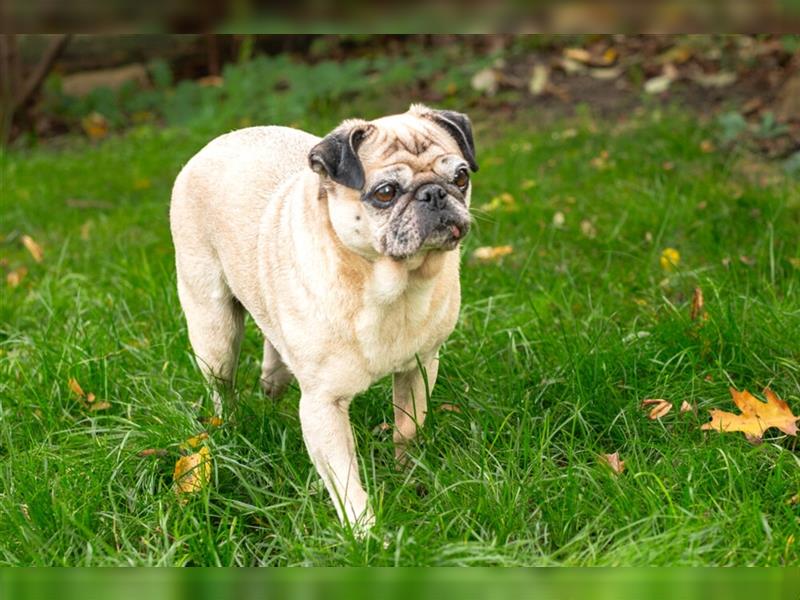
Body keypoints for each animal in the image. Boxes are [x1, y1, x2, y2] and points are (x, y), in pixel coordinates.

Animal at [170, 103, 476, 528]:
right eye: (385, 193)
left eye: (461, 177)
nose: (434, 193)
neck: (392, 286)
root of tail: (218, 142)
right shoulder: (323, 405)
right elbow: (345, 479)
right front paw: (365, 531)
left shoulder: (420, 366)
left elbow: (406, 428)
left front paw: (407, 474)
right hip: (213, 331)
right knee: (221, 388)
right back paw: (226, 431)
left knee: (272, 352)